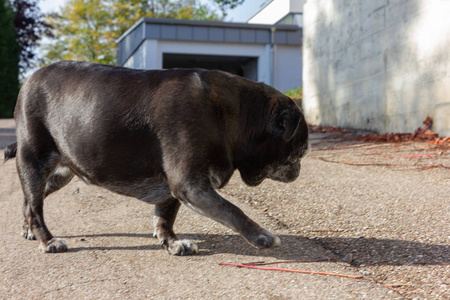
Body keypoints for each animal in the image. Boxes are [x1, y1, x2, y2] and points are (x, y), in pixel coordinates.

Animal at [3, 61, 308, 255]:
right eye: (300, 151)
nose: (299, 169)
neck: (233, 117)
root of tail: (28, 81)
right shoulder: (190, 184)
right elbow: (232, 210)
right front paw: (262, 236)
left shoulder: (176, 189)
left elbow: (165, 217)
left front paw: (171, 243)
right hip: (34, 162)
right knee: (36, 206)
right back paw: (47, 240)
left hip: (60, 174)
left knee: (30, 201)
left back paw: (28, 229)